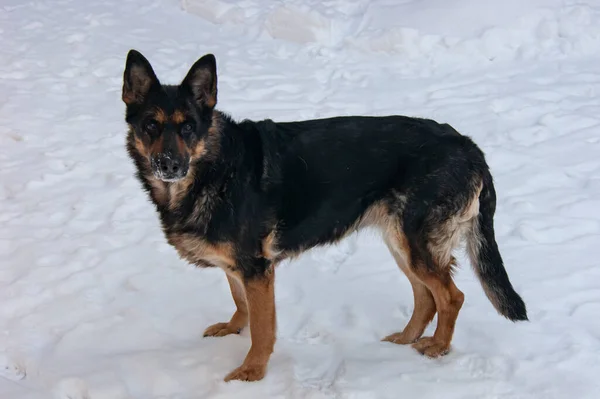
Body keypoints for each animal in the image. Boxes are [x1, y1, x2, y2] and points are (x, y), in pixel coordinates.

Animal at [120, 50, 524, 384]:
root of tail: (468, 145)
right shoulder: (240, 267)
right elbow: (240, 301)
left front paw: (252, 372)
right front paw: (235, 328)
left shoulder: (256, 269)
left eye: (188, 126)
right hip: (401, 242)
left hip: (416, 244)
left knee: (452, 297)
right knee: (426, 298)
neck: (213, 168)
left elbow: (263, 328)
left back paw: (437, 348)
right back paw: (404, 341)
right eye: (151, 125)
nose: (169, 165)